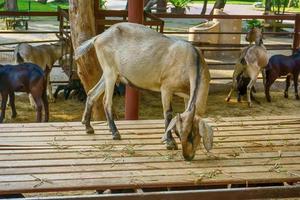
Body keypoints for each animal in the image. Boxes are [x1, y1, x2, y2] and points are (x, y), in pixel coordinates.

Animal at [75, 22, 211, 162]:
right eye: (178, 133)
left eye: (192, 134)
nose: (187, 156)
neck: (191, 60)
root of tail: (99, 37)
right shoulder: (166, 87)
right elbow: (168, 113)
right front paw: (170, 143)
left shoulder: (187, 95)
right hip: (110, 71)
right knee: (106, 101)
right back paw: (115, 133)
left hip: (112, 73)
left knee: (92, 93)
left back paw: (88, 127)